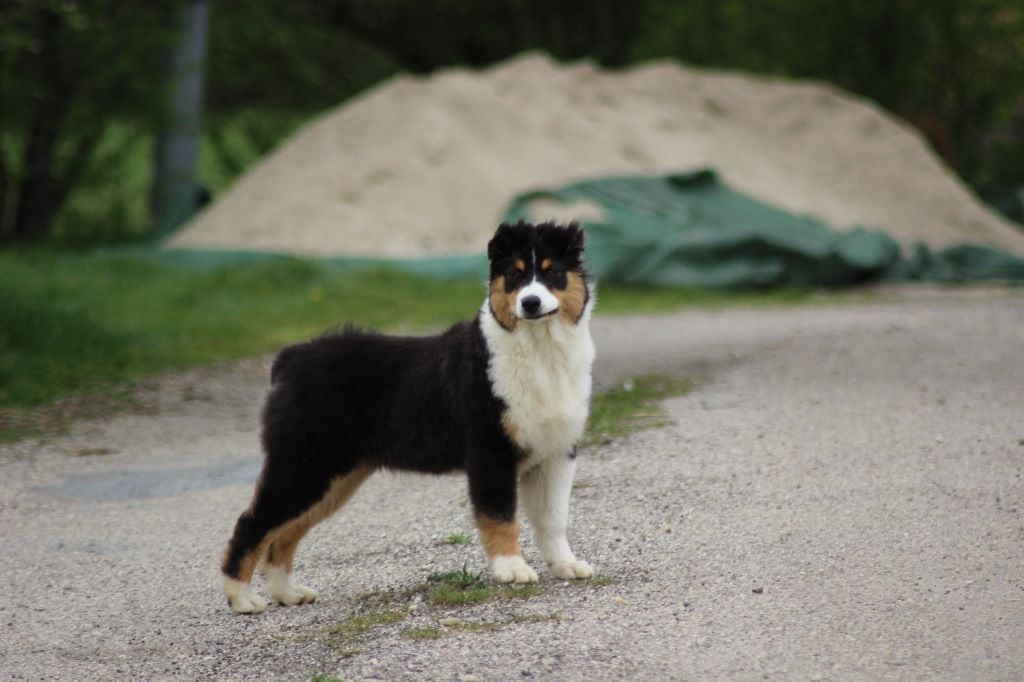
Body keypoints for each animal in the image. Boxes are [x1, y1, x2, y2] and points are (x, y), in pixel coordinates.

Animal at [220, 220, 598, 614]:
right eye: (514, 275)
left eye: (552, 272)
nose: (530, 302)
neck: (539, 349)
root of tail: (289, 359)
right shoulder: (490, 452)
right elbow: (501, 517)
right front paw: (512, 570)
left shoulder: (557, 454)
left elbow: (554, 519)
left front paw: (567, 565)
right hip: (302, 464)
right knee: (252, 523)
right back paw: (243, 598)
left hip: (332, 476)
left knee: (284, 534)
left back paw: (287, 593)